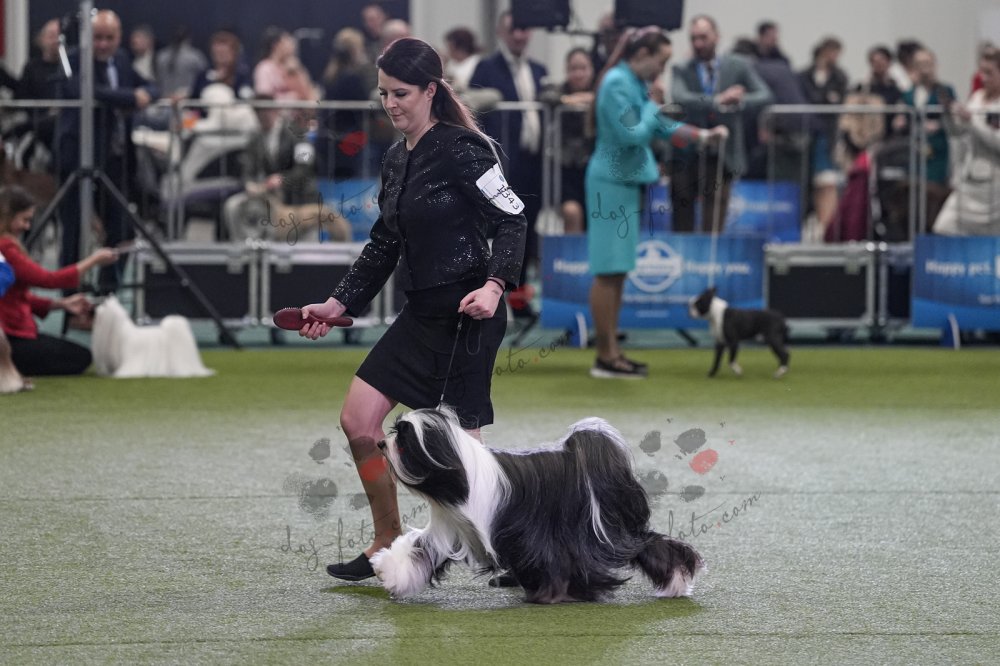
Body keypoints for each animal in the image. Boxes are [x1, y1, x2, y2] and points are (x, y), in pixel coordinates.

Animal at [370, 408, 705, 604]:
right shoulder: (451, 526)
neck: (460, 472)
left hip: (600, 530)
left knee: (647, 545)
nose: (381, 444)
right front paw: (389, 572)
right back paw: (677, 582)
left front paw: (547, 595)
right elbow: (418, 549)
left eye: (404, 442)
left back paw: (676, 580)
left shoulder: (529, 535)